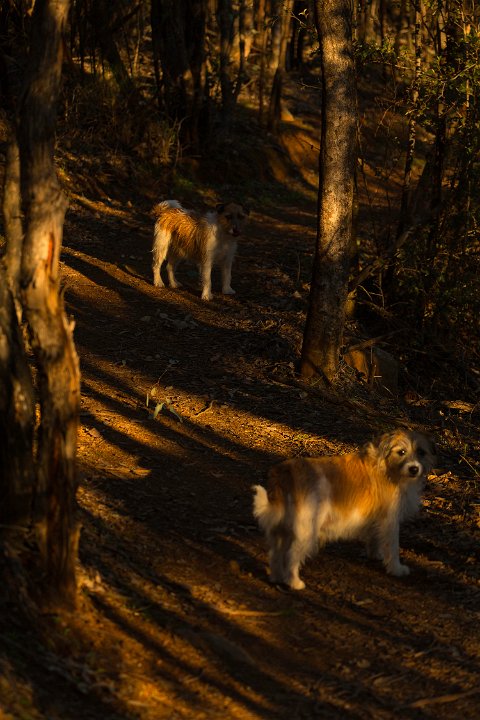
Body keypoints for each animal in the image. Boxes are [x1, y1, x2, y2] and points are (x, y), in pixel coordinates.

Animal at [253, 428, 436, 592]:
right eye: (402, 452)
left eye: (421, 452)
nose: (414, 469)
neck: (388, 467)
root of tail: (286, 473)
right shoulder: (390, 521)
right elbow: (392, 547)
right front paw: (396, 569)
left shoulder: (378, 519)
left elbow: (374, 538)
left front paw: (375, 554)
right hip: (307, 530)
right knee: (291, 555)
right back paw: (294, 583)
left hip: (281, 530)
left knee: (275, 554)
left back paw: (276, 577)